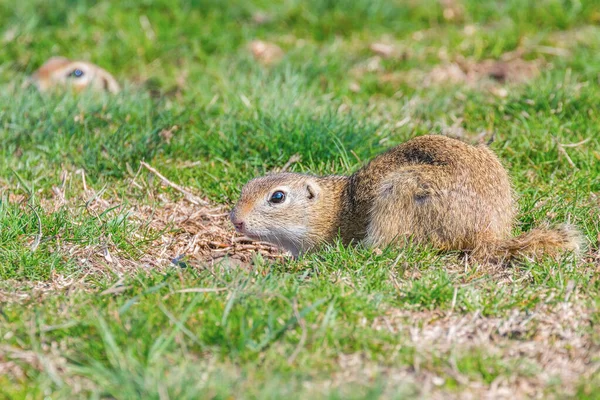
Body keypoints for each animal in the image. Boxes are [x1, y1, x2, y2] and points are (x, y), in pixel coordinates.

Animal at [230, 134, 580, 262]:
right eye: (246, 186)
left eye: (277, 197)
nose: (235, 220)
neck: (333, 208)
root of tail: (488, 232)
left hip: (401, 191)